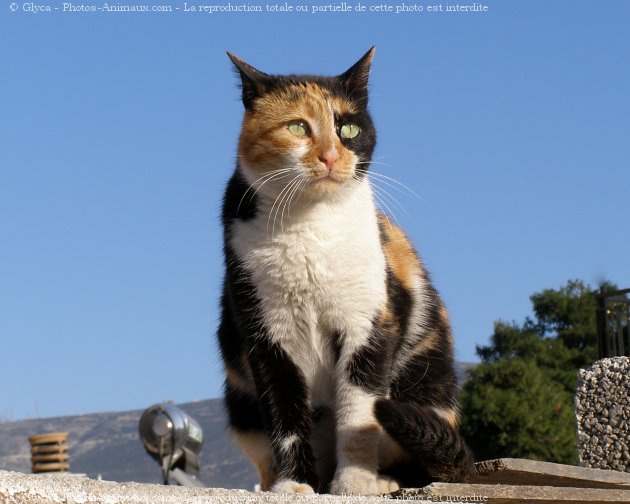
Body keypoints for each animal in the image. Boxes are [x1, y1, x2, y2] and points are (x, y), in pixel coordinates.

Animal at [217, 47, 474, 496]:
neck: (309, 225)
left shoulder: (367, 325)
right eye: (298, 126)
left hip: (425, 381)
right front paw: (294, 485)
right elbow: (286, 420)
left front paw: (354, 483)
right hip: (240, 397)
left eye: (348, 127)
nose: (331, 155)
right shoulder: (268, 338)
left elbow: (358, 416)